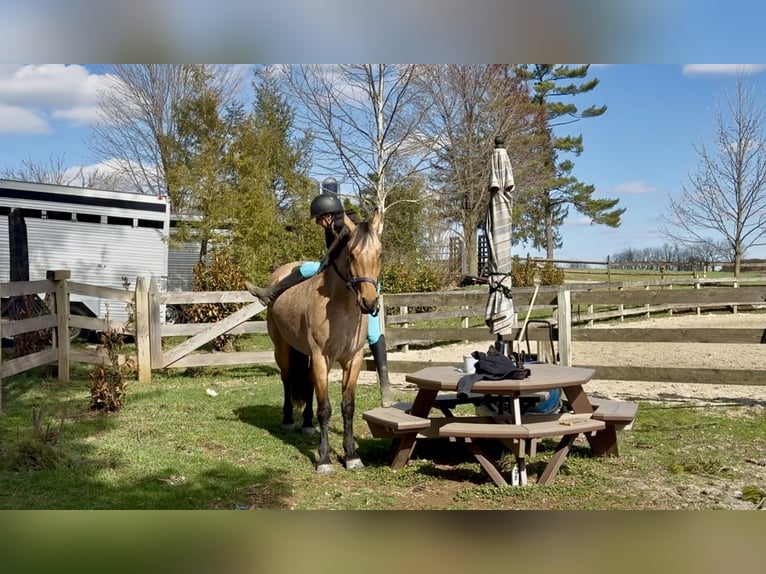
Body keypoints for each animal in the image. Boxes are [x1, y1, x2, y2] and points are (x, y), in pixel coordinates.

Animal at [265, 210, 382, 474]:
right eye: (352, 254)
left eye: (380, 254)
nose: (369, 302)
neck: (342, 307)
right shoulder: (321, 358)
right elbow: (325, 408)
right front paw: (324, 459)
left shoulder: (353, 359)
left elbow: (347, 406)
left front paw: (351, 455)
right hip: (283, 350)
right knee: (287, 379)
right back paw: (289, 420)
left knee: (307, 383)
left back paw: (307, 424)